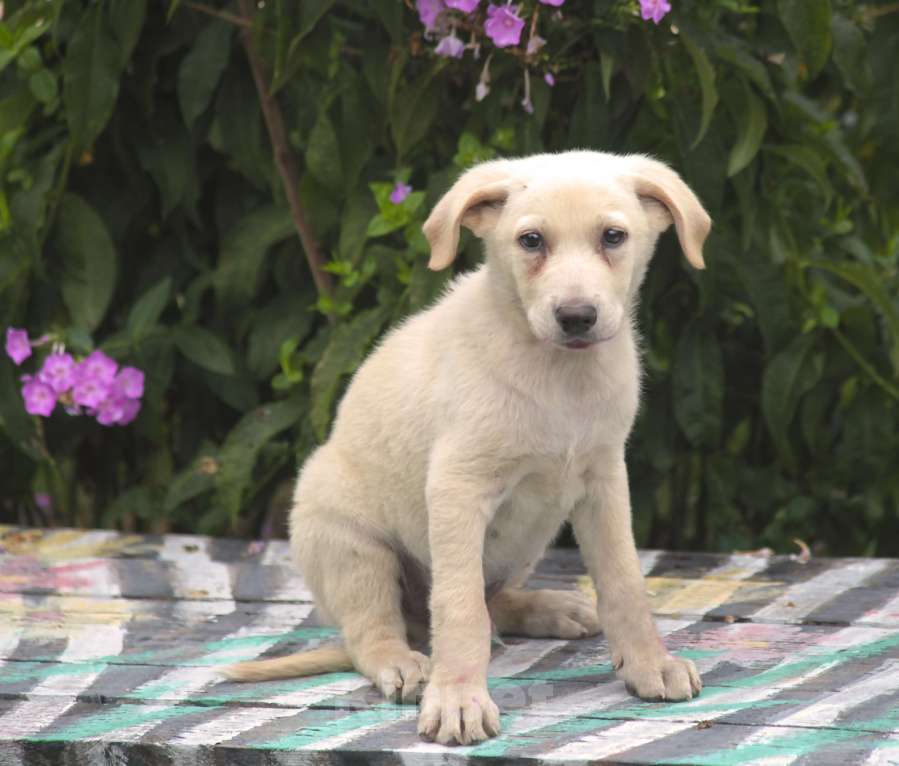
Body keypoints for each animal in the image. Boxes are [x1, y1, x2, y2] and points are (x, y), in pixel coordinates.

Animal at [229, 150, 712, 744]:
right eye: (531, 240)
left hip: (531, 536)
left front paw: (649, 663)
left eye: (613, 236)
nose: (577, 317)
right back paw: (404, 662)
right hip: (348, 540)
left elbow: (624, 580)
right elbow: (458, 607)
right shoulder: (458, 487)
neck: (559, 376)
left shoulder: (604, 481)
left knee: (492, 599)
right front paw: (458, 698)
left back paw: (548, 608)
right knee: (375, 631)